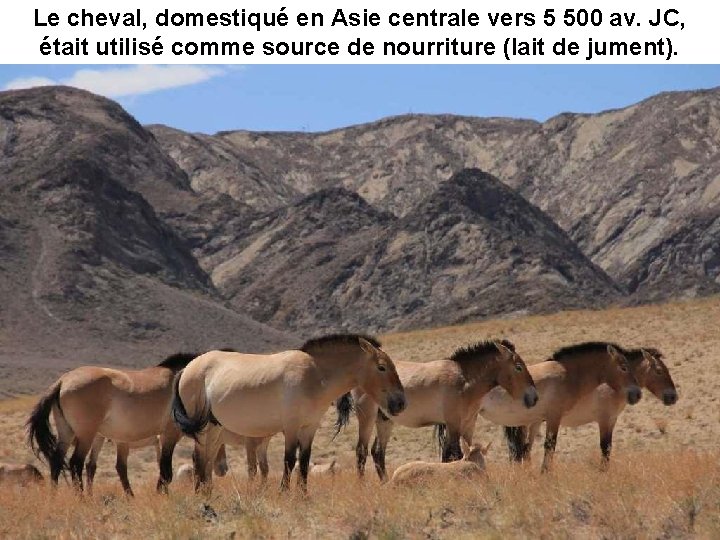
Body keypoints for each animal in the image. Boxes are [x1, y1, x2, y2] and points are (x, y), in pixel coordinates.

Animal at [26, 352, 198, 494]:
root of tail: (63, 381)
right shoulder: (169, 434)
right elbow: (166, 471)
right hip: (86, 435)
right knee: (76, 463)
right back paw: (81, 499)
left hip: (67, 433)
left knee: (57, 461)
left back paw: (54, 497)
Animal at [171, 334, 406, 493]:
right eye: (382, 367)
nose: (400, 403)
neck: (314, 375)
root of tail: (188, 369)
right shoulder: (291, 427)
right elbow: (289, 460)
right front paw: (284, 492)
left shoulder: (309, 428)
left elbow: (304, 461)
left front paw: (303, 494)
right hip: (205, 428)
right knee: (199, 458)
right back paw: (200, 494)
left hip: (215, 428)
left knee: (206, 458)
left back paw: (206, 493)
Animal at [340, 340, 538, 481]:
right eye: (518, 367)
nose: (534, 397)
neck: (464, 381)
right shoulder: (453, 423)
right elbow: (453, 454)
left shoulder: (468, 423)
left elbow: (462, 451)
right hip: (367, 417)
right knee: (361, 451)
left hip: (385, 420)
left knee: (378, 453)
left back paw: (385, 482)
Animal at [477, 342, 642, 472]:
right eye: (623, 367)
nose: (637, 394)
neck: (567, 376)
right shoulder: (554, 417)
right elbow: (550, 446)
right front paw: (545, 473)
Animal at [502, 347, 677, 465]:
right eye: (659, 371)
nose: (673, 396)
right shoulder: (604, 420)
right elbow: (605, 447)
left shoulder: (611, 421)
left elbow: (608, 448)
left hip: (535, 423)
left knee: (525, 450)